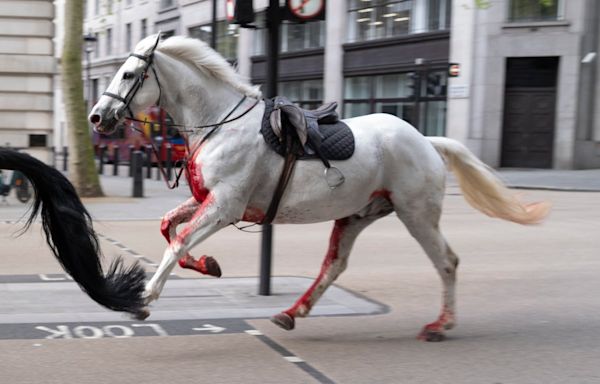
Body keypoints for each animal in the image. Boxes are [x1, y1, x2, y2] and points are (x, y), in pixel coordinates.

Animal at [88, 35, 548, 342]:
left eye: (129, 74)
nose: (96, 116)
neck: (220, 124)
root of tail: (426, 140)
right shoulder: (208, 200)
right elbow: (169, 227)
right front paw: (208, 264)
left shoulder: (225, 206)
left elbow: (179, 240)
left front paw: (145, 298)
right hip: (357, 215)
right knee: (334, 266)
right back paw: (293, 312)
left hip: (416, 213)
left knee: (447, 262)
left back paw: (441, 324)